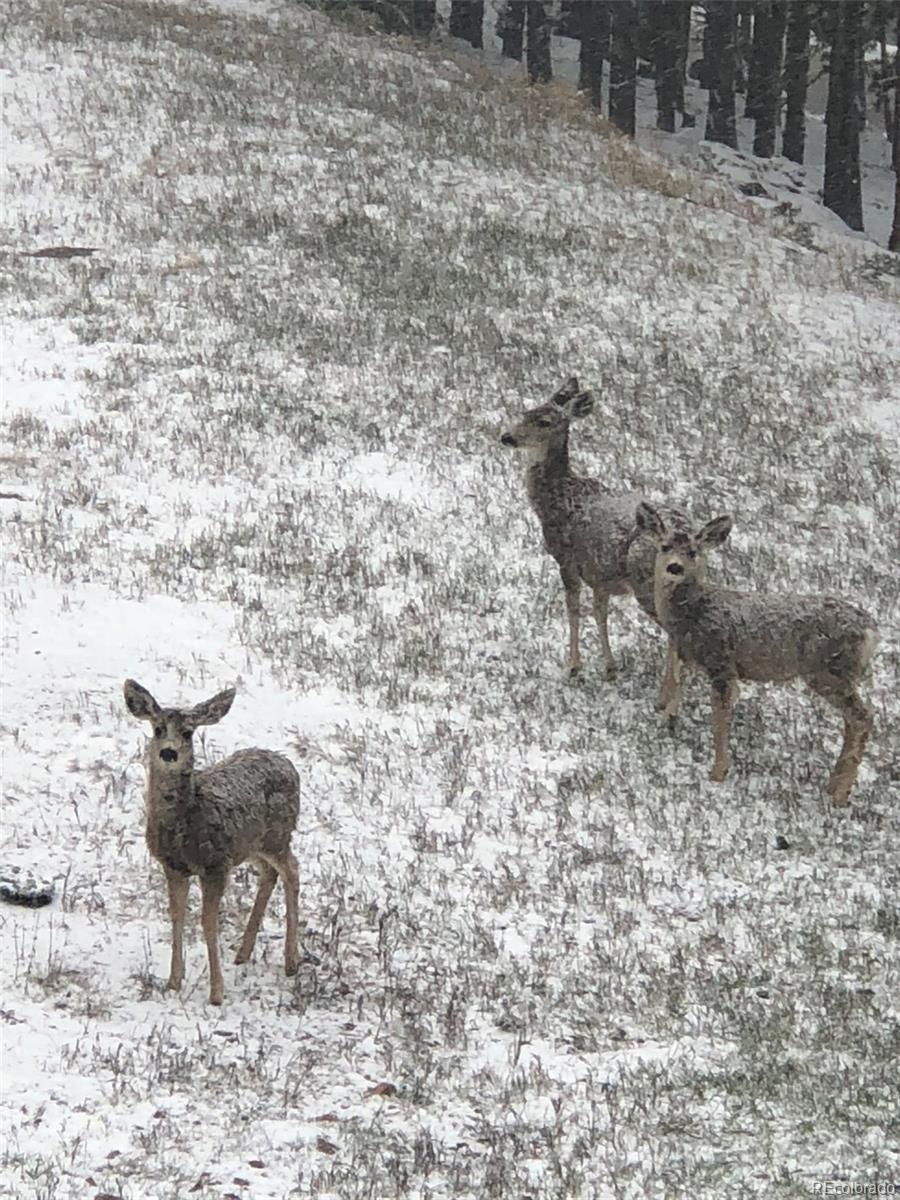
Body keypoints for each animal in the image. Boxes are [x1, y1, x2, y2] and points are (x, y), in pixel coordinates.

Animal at [123, 681, 303, 1008]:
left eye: (187, 732)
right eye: (158, 728)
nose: (168, 752)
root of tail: (287, 762)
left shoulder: (215, 865)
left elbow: (208, 922)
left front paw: (216, 993)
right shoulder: (173, 866)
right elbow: (177, 917)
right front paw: (173, 982)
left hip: (277, 835)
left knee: (292, 870)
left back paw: (290, 961)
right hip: (251, 846)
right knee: (270, 873)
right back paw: (243, 953)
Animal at [501, 374, 710, 696]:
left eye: (545, 422)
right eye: (525, 413)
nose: (507, 437)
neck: (560, 497)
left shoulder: (567, 559)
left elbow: (574, 609)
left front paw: (574, 667)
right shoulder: (600, 574)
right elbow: (600, 613)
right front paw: (610, 668)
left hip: (649, 584)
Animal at [643, 499, 883, 806]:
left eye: (693, 551)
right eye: (664, 546)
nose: (674, 567)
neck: (694, 613)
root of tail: (871, 631)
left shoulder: (722, 662)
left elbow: (720, 718)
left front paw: (718, 773)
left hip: (830, 671)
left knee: (863, 716)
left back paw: (840, 795)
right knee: (853, 720)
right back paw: (833, 786)